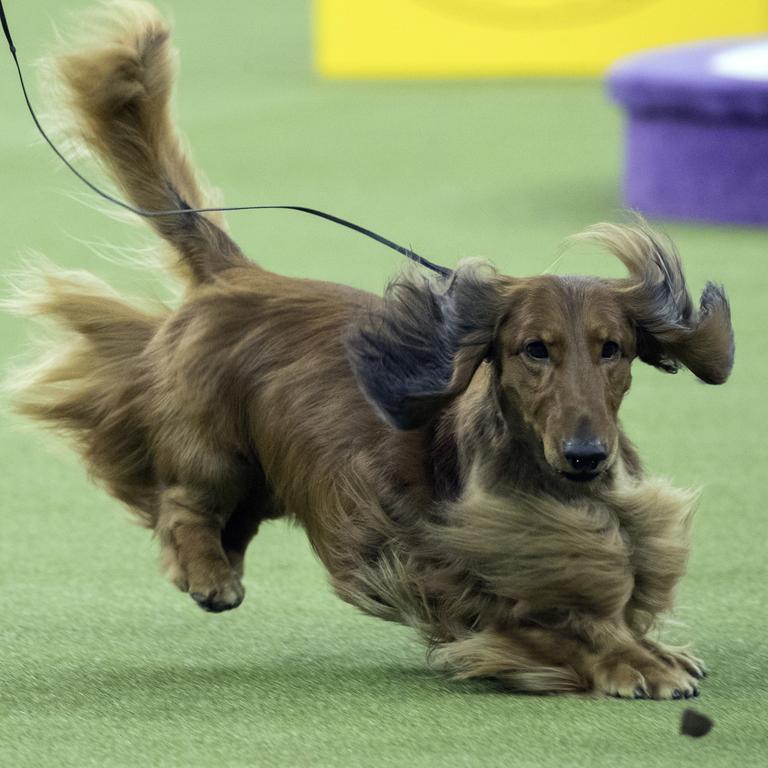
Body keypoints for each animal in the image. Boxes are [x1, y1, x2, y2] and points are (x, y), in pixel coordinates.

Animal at [9, 1, 736, 696]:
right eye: (535, 349)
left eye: (612, 349)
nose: (587, 454)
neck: (556, 489)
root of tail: (236, 275)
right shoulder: (464, 578)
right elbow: (568, 622)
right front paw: (636, 664)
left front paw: (655, 651)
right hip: (215, 449)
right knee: (185, 503)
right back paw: (208, 573)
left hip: (269, 466)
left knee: (231, 518)